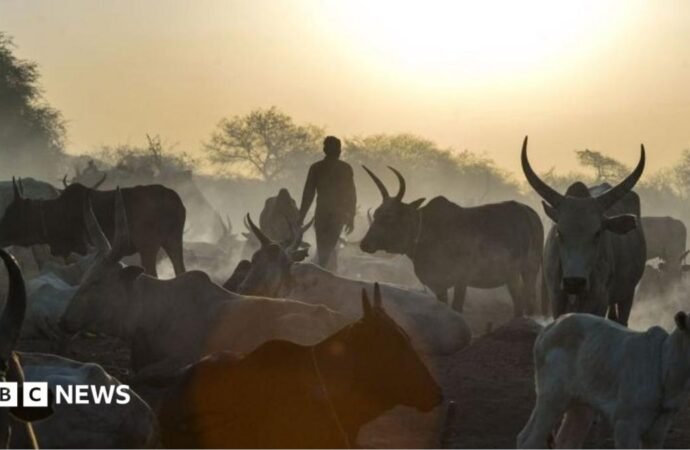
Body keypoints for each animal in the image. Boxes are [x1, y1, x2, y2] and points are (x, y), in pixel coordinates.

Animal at [0, 179, 186, 276]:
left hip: (148, 246)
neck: (55, 212)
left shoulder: (82, 248)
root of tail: (173, 199)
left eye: (11, 214)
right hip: (174, 242)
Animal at [359, 165, 543, 317]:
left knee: (528, 302)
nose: (364, 244)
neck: (426, 230)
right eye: (376, 213)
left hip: (529, 270)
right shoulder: (439, 285)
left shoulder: (461, 279)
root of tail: (530, 214)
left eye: (389, 217)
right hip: (513, 276)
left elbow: (457, 309)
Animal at [518, 311, 690, 448]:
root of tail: (549, 327)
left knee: (567, 440)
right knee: (529, 439)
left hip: (580, 403)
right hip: (553, 396)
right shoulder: (625, 423)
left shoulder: (659, 429)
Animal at [521, 137, 646, 325]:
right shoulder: (556, 298)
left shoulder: (599, 299)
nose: (575, 282)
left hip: (628, 293)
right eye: (559, 232)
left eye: (597, 233)